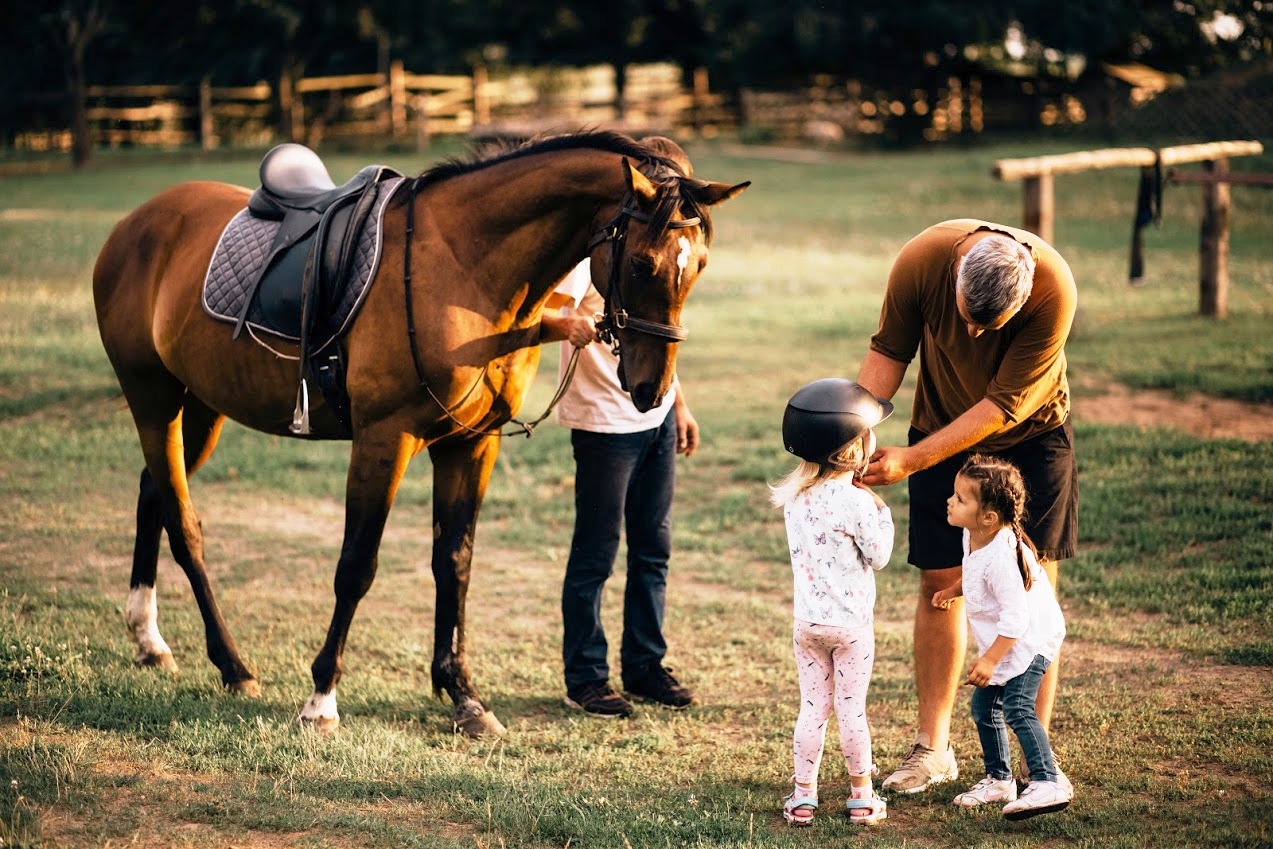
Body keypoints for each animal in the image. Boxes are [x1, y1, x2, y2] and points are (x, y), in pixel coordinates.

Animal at [96, 133, 743, 738]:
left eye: (700, 266)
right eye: (641, 265)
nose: (652, 388)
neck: (465, 269)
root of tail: (134, 223)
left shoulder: (472, 444)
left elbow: (454, 562)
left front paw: (464, 696)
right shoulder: (385, 442)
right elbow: (357, 566)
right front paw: (321, 700)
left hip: (202, 406)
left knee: (154, 493)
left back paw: (149, 639)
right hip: (154, 399)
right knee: (185, 526)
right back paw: (232, 666)